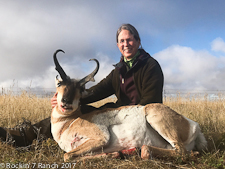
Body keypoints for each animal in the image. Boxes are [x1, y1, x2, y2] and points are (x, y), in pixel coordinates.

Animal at [51, 49, 207, 161]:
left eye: (80, 90)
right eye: (59, 84)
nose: (66, 102)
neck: (68, 123)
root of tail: (193, 125)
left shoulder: (101, 137)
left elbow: (67, 156)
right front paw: (114, 154)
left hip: (156, 118)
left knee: (179, 151)